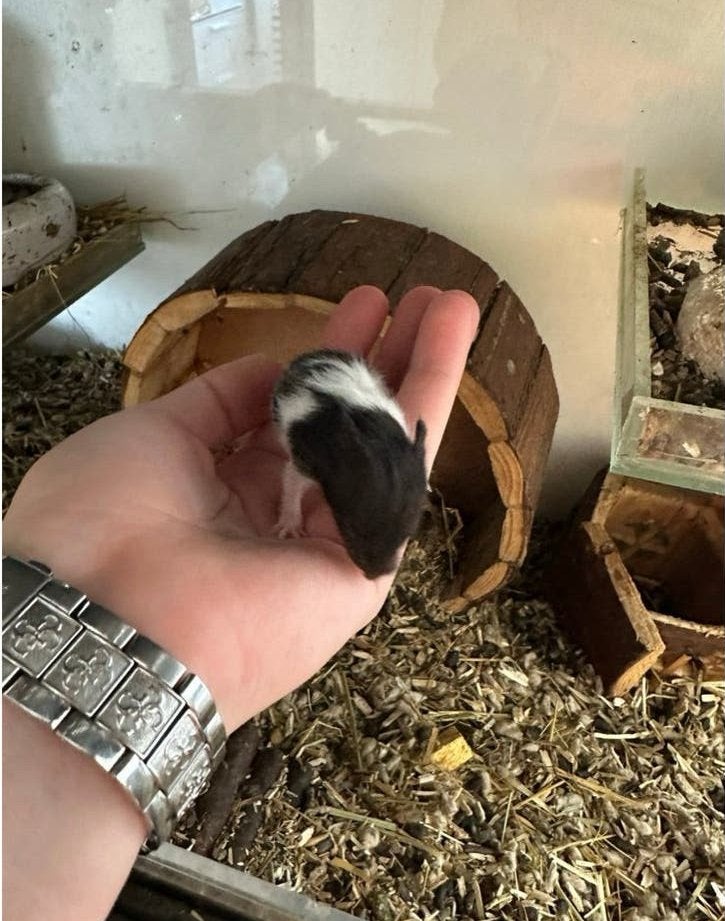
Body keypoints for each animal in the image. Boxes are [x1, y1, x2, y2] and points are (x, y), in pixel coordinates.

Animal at [272, 348, 427, 579]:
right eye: (353, 529)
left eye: (406, 535)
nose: (374, 576)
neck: (379, 440)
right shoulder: (305, 462)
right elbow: (292, 485)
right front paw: (289, 530)